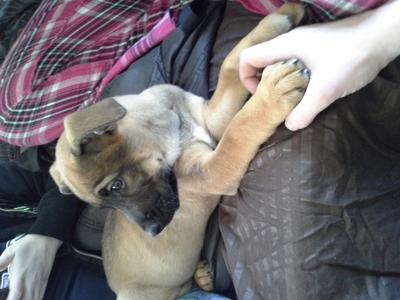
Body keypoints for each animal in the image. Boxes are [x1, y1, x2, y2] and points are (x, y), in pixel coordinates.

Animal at [49, 3, 306, 298]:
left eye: (115, 186)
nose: (153, 231)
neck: (168, 122)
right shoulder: (212, 172)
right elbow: (237, 130)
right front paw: (273, 95)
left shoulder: (210, 118)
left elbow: (231, 65)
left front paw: (282, 17)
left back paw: (203, 275)